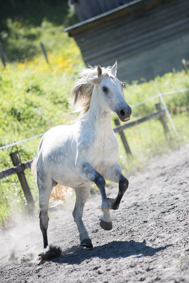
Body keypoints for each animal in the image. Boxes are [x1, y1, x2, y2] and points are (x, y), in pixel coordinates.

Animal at [32, 61, 131, 248]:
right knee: (43, 218)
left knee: (76, 213)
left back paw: (86, 240)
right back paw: (47, 250)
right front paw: (106, 214)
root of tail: (44, 139)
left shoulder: (111, 168)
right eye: (105, 88)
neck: (99, 136)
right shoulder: (85, 169)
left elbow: (123, 183)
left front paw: (112, 207)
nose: (126, 112)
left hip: (82, 187)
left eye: (121, 84)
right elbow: (101, 181)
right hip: (45, 185)